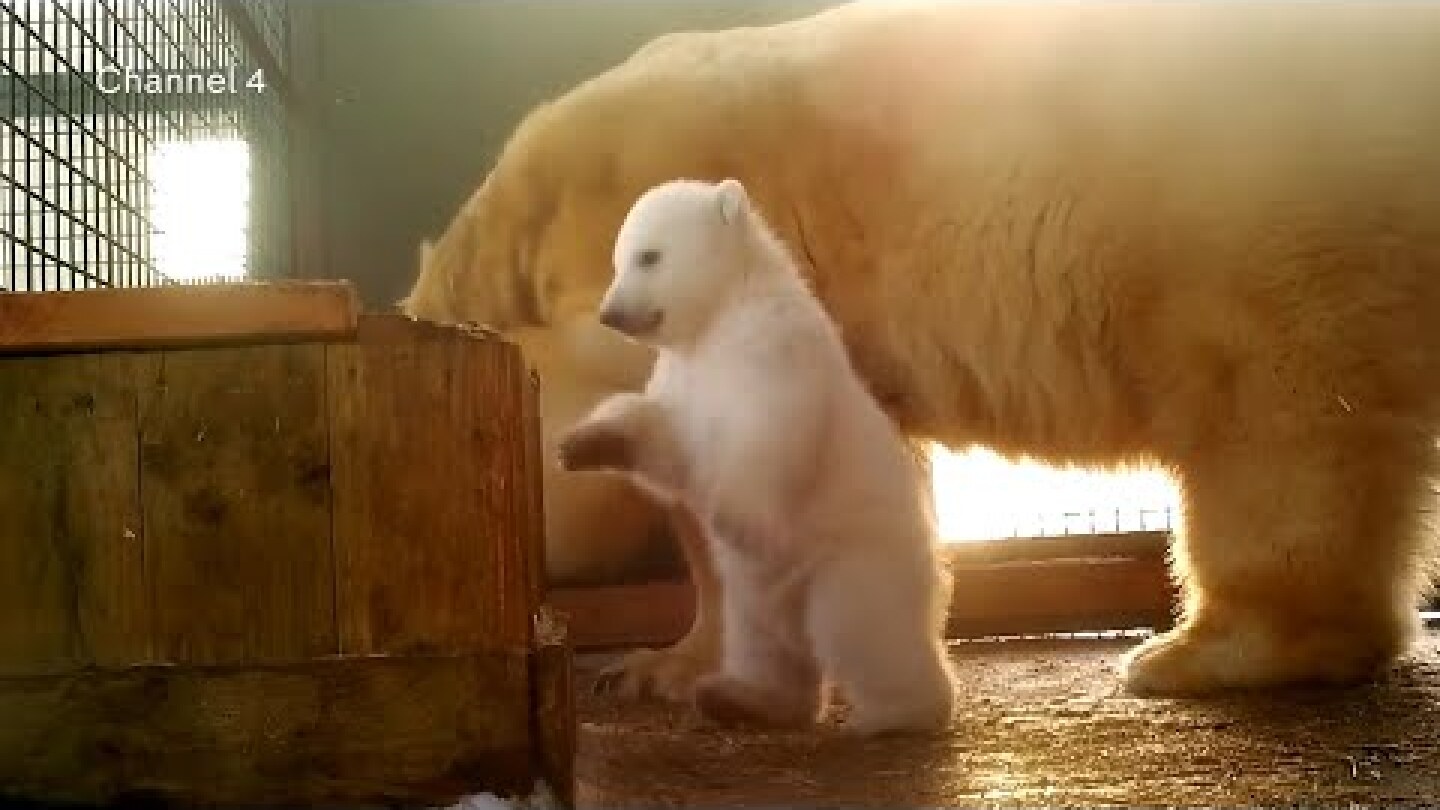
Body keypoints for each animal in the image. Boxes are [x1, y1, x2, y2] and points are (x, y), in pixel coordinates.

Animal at [556, 177, 956, 734]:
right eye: (618, 260)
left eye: (649, 256)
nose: (609, 315)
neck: (724, 313)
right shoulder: (685, 371)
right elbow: (669, 440)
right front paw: (585, 443)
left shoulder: (772, 348)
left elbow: (766, 431)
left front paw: (734, 519)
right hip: (753, 601)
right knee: (764, 645)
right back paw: (742, 699)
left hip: (853, 559)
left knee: (858, 627)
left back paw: (897, 715)